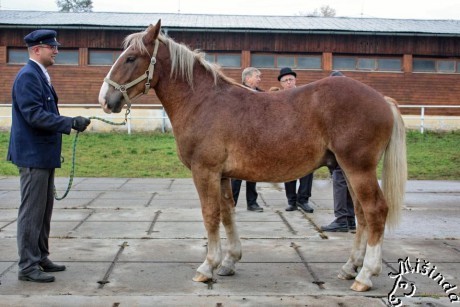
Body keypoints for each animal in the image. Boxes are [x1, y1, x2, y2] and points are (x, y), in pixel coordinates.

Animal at [99, 20, 408, 292]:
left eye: (131, 58)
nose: (105, 99)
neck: (203, 101)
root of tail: (383, 100)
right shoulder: (223, 176)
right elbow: (227, 213)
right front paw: (229, 261)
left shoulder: (205, 171)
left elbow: (210, 214)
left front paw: (207, 266)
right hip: (347, 169)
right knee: (361, 214)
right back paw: (350, 267)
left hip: (358, 168)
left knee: (375, 211)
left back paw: (366, 275)